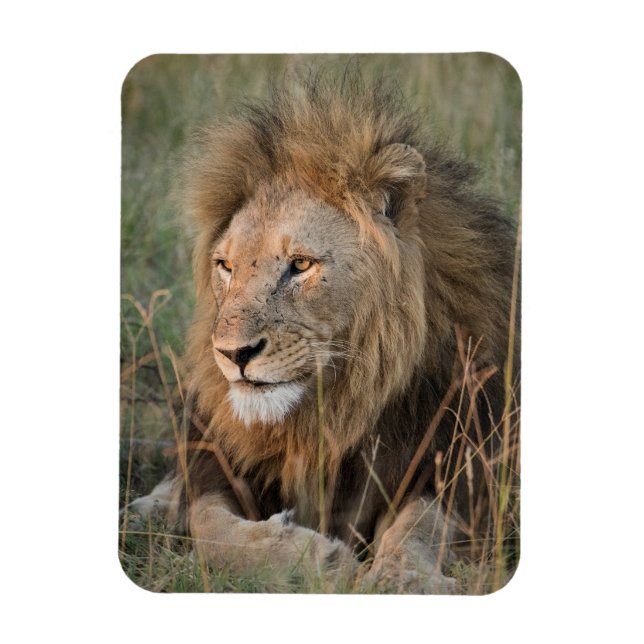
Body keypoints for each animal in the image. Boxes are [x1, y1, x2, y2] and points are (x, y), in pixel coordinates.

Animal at [127, 70, 519, 593]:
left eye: (301, 265)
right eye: (225, 266)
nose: (232, 354)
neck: (329, 410)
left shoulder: (464, 464)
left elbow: (421, 524)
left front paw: (403, 576)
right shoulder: (221, 466)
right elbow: (211, 528)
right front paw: (314, 558)